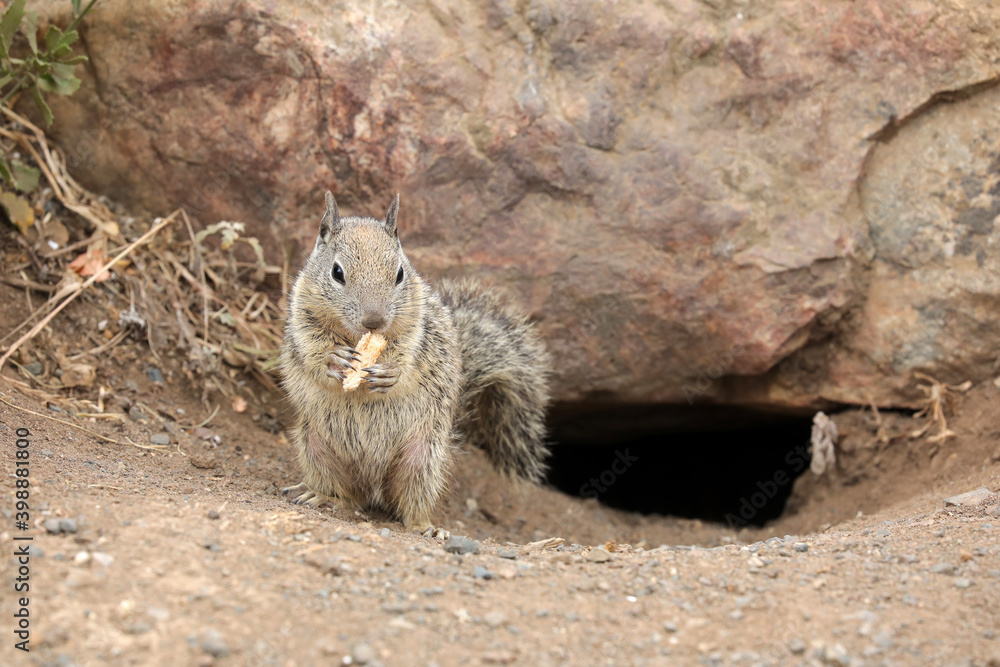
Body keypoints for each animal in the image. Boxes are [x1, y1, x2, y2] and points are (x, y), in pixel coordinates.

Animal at [280, 192, 550, 536]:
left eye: (399, 274)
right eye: (337, 272)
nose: (374, 320)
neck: (357, 337)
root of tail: (373, 483)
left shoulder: (418, 330)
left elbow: (409, 359)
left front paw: (390, 374)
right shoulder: (301, 320)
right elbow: (310, 350)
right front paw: (335, 360)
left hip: (423, 457)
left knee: (410, 499)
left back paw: (424, 526)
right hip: (315, 447)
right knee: (347, 494)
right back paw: (324, 496)